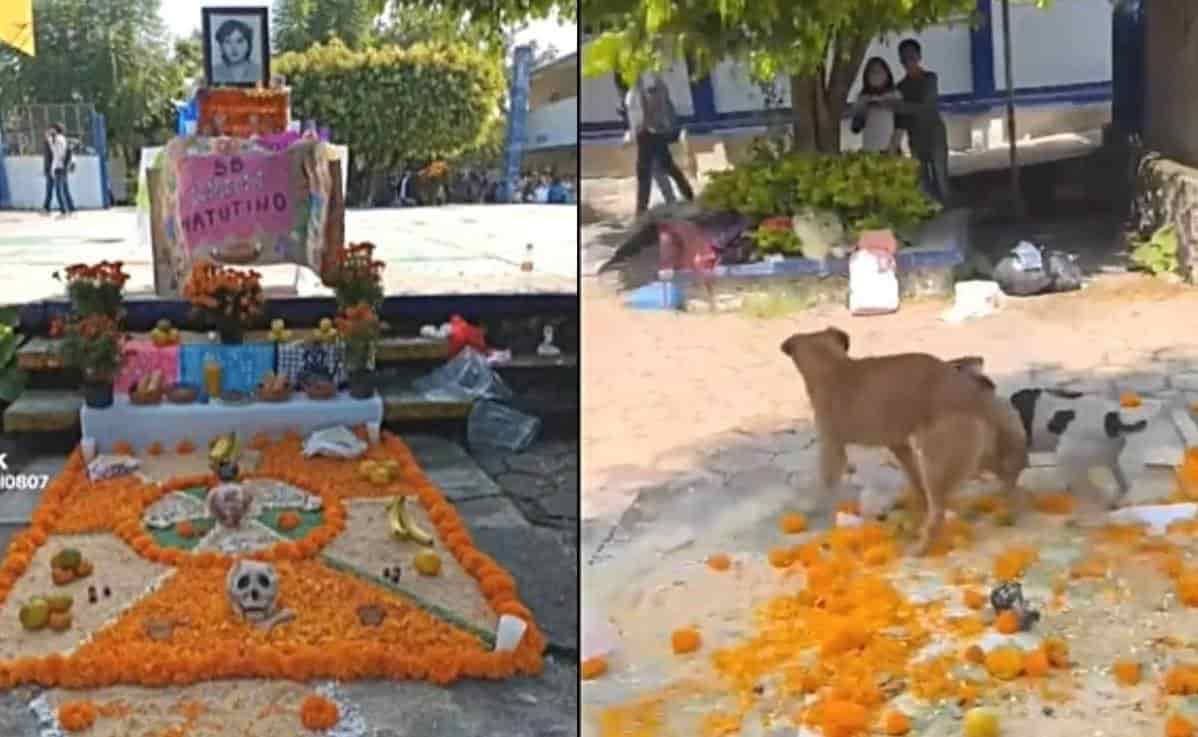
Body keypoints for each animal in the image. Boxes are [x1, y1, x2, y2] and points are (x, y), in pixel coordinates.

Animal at [781, 328, 1025, 553]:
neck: (831, 366)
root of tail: (972, 396)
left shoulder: (832, 447)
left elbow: (826, 486)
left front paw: (819, 512)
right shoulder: (900, 446)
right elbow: (916, 482)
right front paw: (918, 508)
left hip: (936, 464)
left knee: (938, 513)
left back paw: (921, 547)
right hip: (973, 456)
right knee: (1008, 479)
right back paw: (1013, 509)